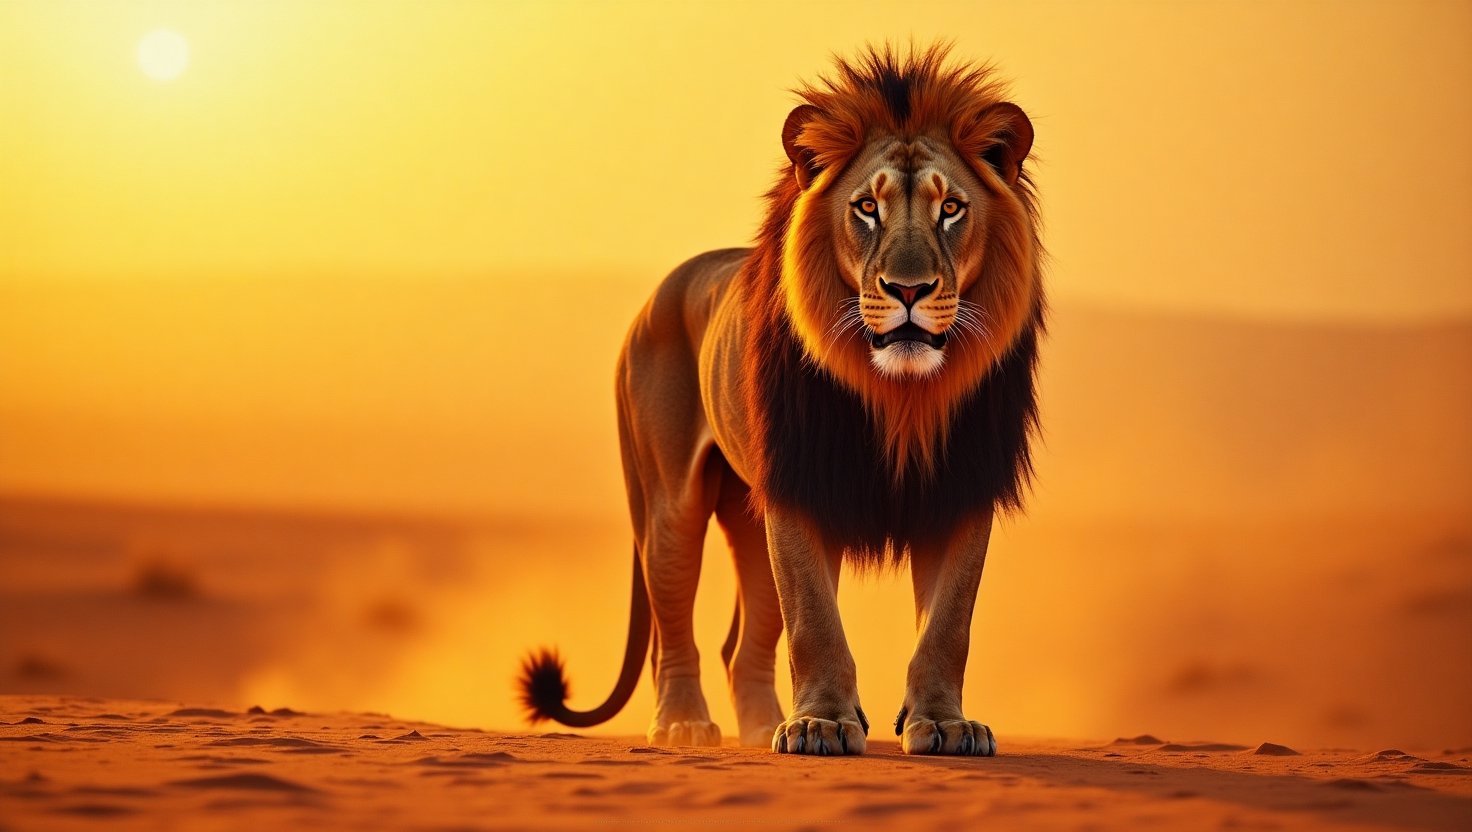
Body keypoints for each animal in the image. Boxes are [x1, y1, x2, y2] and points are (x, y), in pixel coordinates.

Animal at [520, 44, 1042, 757]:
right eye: (867, 207)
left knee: (741, 646)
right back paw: (684, 725)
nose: (908, 289)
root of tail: (655, 299)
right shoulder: (798, 486)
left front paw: (945, 725)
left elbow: (948, 625)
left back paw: (760, 727)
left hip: (747, 512)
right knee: (673, 627)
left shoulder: (962, 485)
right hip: (670, 505)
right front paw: (820, 724)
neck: (900, 395)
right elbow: (814, 621)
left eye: (952, 209)